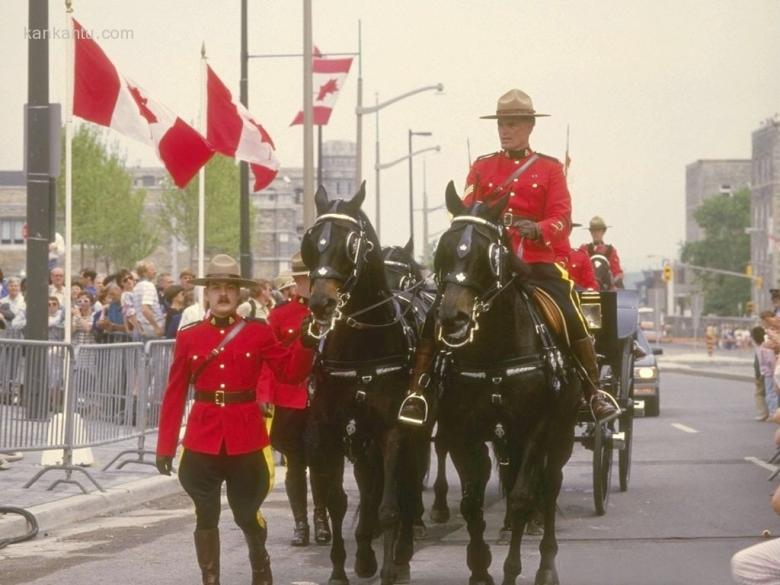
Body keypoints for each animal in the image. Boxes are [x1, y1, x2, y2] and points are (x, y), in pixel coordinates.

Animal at [302, 184, 424, 584]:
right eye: (312, 241)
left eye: (351, 243)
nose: (321, 303)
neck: (362, 347)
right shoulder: (330, 430)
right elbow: (337, 500)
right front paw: (342, 568)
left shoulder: (393, 429)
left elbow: (390, 505)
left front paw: (390, 567)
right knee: (370, 483)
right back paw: (365, 549)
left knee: (407, 482)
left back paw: (401, 551)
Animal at [436, 182, 580, 584]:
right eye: (444, 249)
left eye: (485, 255)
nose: (452, 318)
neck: (496, 350)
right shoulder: (462, 430)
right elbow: (471, 501)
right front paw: (480, 568)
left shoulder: (538, 428)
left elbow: (520, 498)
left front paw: (513, 569)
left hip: (560, 433)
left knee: (549, 486)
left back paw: (546, 565)